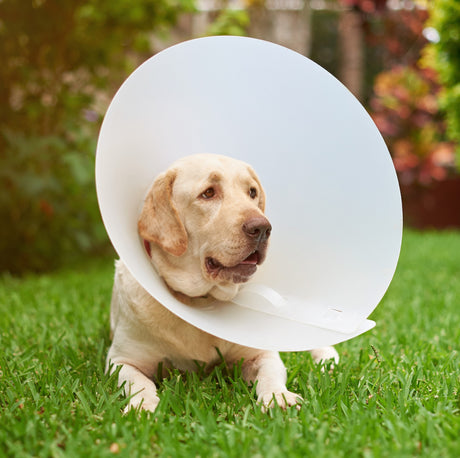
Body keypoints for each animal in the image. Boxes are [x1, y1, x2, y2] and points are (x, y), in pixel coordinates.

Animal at [107, 155, 338, 416]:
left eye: (252, 192)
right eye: (208, 193)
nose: (262, 228)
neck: (199, 301)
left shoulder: (260, 353)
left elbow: (271, 373)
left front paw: (279, 397)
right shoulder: (121, 361)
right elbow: (138, 382)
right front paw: (143, 406)